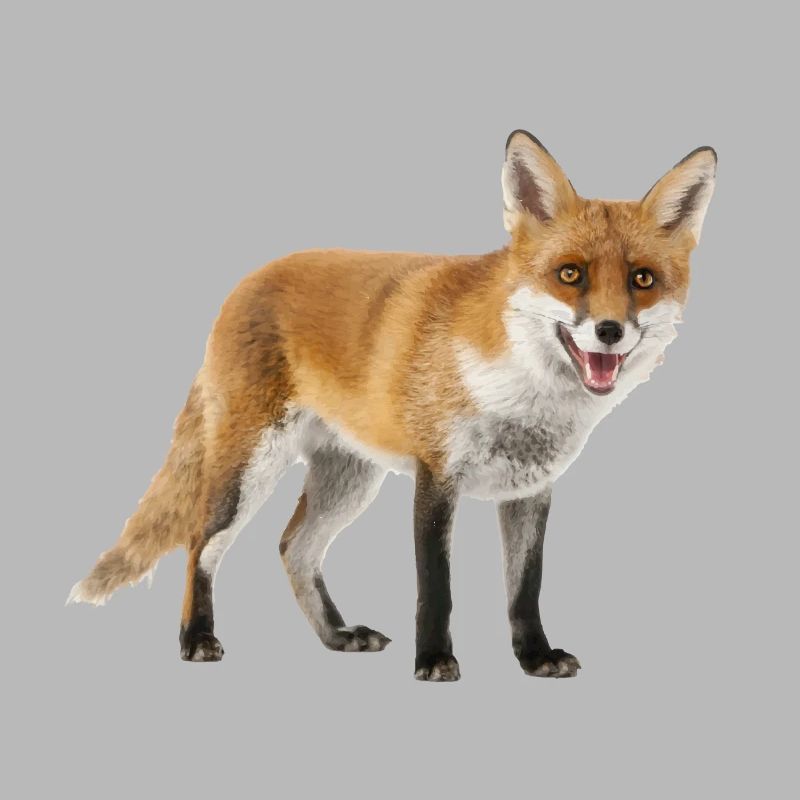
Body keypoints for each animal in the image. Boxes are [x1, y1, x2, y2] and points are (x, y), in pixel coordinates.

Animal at [68, 130, 716, 681]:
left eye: (641, 280)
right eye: (571, 274)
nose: (609, 331)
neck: (522, 395)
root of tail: (246, 280)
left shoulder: (531, 489)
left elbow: (524, 589)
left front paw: (534, 658)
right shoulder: (436, 477)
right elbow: (437, 588)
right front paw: (433, 661)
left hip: (350, 480)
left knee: (293, 548)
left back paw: (336, 637)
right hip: (249, 470)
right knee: (201, 545)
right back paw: (196, 638)